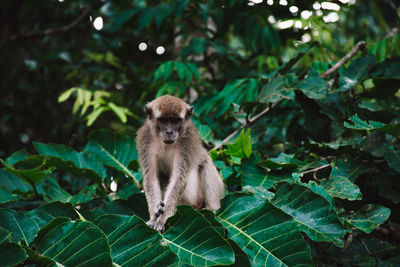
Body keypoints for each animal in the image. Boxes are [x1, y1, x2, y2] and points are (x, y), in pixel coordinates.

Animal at [138, 95, 225, 233]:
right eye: (164, 120)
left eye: (175, 121)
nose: (169, 131)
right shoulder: (145, 139)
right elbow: (151, 178)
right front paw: (153, 219)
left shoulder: (187, 142)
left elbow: (178, 178)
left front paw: (161, 220)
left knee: (205, 164)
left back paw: (211, 209)